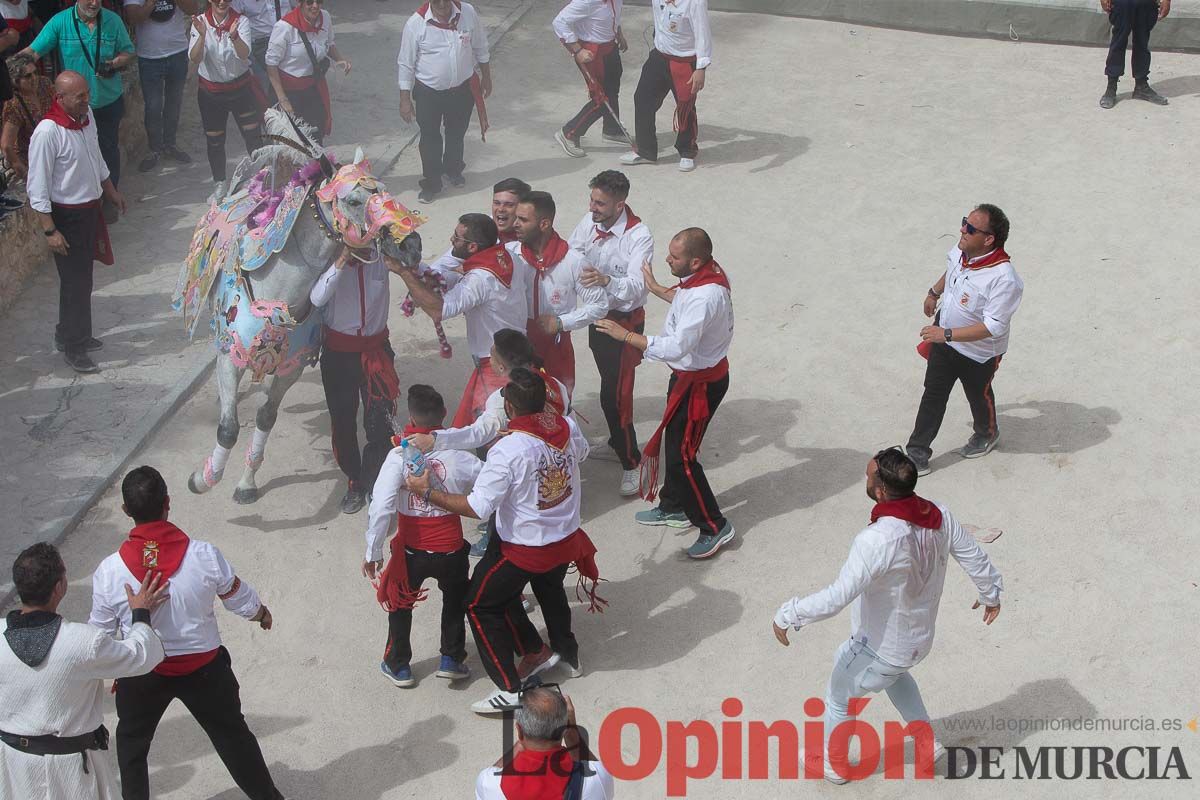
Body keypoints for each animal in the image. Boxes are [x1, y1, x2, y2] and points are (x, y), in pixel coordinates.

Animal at [175, 109, 424, 503]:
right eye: (354, 201)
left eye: (384, 191)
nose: (411, 245)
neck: (277, 299)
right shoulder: (231, 357)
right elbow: (229, 428)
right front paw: (202, 479)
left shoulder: (290, 368)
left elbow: (266, 416)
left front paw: (246, 482)